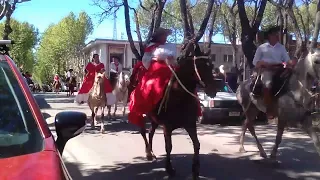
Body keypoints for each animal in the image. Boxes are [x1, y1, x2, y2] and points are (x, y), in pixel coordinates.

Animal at [131, 43, 221, 179]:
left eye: (211, 66)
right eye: (200, 66)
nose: (212, 90)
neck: (179, 95)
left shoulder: (190, 124)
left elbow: (196, 144)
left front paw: (195, 170)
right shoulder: (167, 127)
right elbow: (169, 147)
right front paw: (169, 169)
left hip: (154, 120)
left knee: (151, 132)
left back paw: (151, 152)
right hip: (142, 112)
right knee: (143, 131)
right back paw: (148, 153)